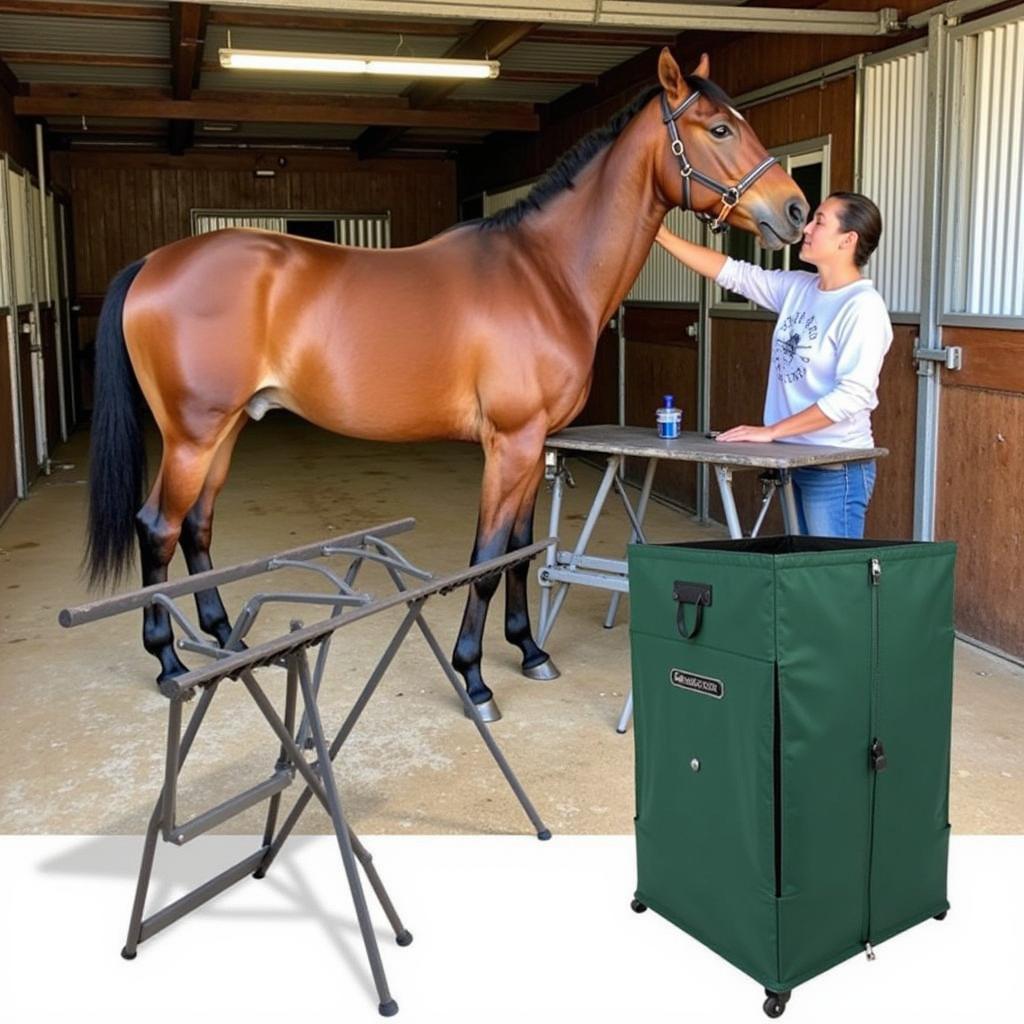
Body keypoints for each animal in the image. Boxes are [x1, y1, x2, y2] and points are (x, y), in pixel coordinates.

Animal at [86, 49, 806, 720]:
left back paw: (225, 640)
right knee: (158, 528)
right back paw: (169, 661)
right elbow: (485, 560)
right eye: (719, 127)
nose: (795, 209)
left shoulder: (532, 447)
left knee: (197, 527)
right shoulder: (511, 443)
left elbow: (518, 552)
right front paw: (474, 678)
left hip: (226, 427)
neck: (545, 274)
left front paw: (531, 652)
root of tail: (154, 263)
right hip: (193, 433)